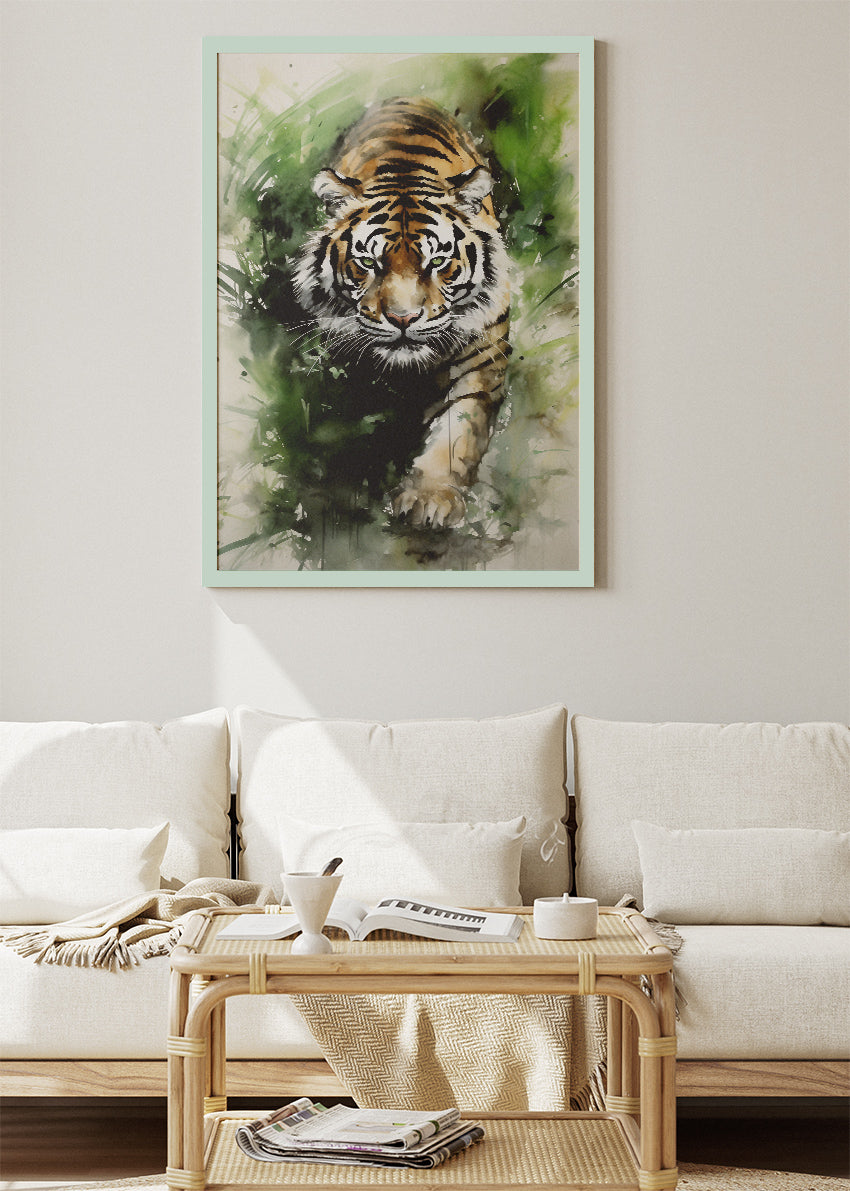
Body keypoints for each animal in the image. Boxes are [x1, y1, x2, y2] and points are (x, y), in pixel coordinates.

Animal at [293, 96, 511, 529]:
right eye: (368, 262)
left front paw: (432, 497)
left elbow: (458, 429)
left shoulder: (481, 357)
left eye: (437, 261)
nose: (403, 319)